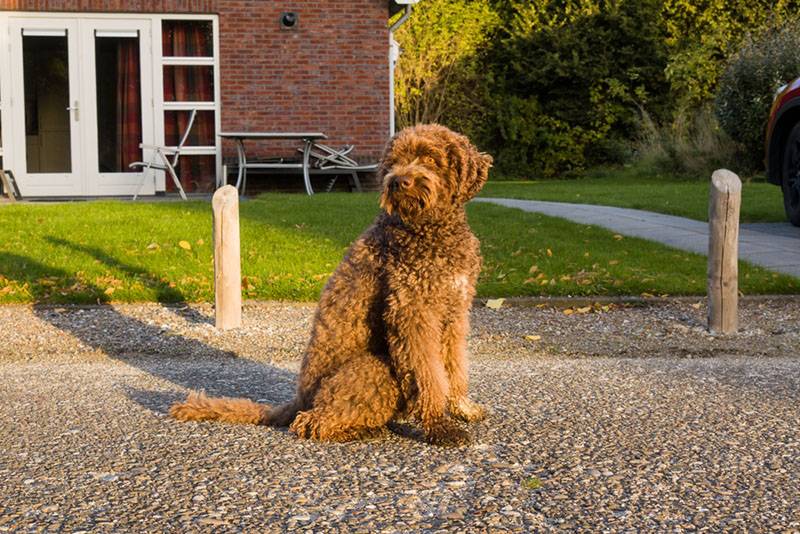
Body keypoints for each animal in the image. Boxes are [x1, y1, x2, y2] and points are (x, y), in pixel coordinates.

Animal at [172, 124, 490, 448]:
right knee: (310, 422)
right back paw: (359, 430)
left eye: (430, 158)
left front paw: (461, 407)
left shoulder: (454, 311)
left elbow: (454, 364)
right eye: (393, 162)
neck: (433, 229)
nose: (398, 181)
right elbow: (428, 375)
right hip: (374, 368)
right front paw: (439, 424)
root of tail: (300, 400)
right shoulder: (411, 313)